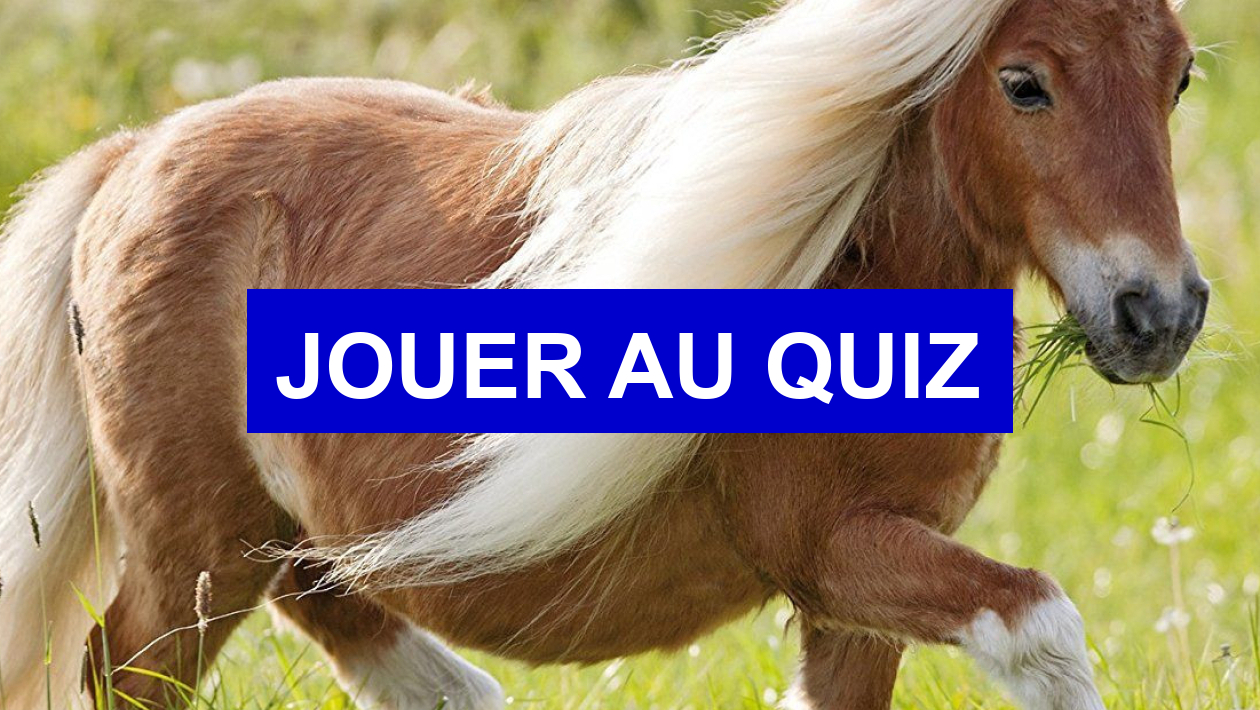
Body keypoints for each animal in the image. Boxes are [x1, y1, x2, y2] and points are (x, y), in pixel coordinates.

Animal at [0, 0, 1209, 707]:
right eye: (1024, 82)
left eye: (1183, 75)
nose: (1160, 313)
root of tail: (131, 155)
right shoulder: (831, 548)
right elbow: (1043, 628)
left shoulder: (853, 601)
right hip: (192, 552)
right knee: (123, 673)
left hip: (284, 539)